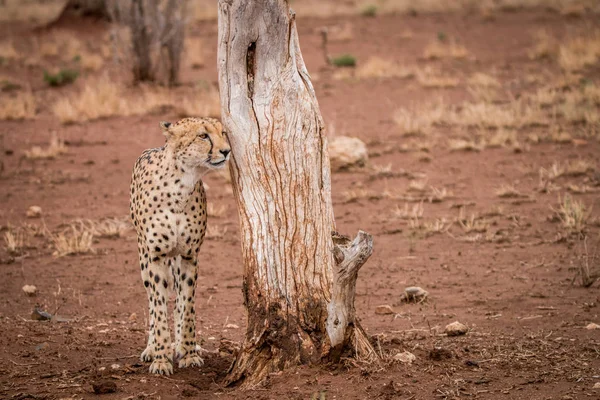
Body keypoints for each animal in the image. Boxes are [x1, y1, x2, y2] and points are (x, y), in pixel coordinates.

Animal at [130, 116, 231, 376]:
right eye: (203, 135)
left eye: (223, 133)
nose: (226, 151)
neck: (181, 185)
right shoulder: (155, 256)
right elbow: (158, 307)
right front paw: (160, 357)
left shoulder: (189, 255)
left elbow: (186, 306)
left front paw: (188, 352)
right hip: (144, 257)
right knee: (152, 301)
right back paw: (152, 347)